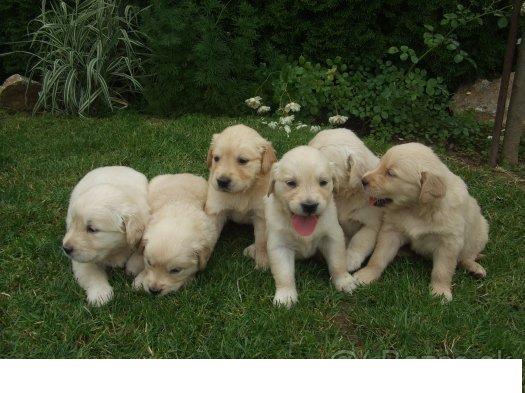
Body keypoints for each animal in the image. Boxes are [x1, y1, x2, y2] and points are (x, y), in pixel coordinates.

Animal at [266, 145, 356, 308]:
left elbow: (337, 261)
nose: (309, 206)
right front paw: (285, 296)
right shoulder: (279, 244)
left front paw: (344, 281)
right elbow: (284, 273)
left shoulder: (333, 235)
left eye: (323, 182)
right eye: (291, 183)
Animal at [356, 143, 488, 300]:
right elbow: (378, 257)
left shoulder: (449, 242)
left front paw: (440, 292)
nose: (363, 180)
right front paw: (365, 275)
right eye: (380, 165)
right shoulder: (391, 231)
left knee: (467, 256)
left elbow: (442, 270)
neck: (416, 210)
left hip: (482, 231)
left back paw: (475, 267)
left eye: (391, 173)